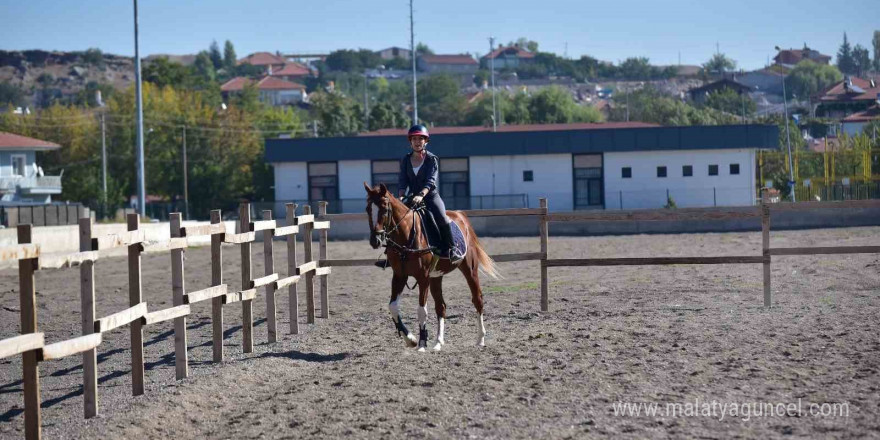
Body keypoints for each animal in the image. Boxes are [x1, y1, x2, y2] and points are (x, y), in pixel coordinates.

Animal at [364, 182, 502, 350]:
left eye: (384, 208)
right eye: (368, 209)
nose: (375, 240)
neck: (407, 235)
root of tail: (460, 216)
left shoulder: (423, 278)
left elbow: (421, 310)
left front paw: (422, 343)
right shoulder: (399, 276)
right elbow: (393, 307)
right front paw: (410, 339)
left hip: (470, 270)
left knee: (477, 300)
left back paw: (480, 339)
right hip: (436, 276)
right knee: (441, 306)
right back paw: (438, 342)